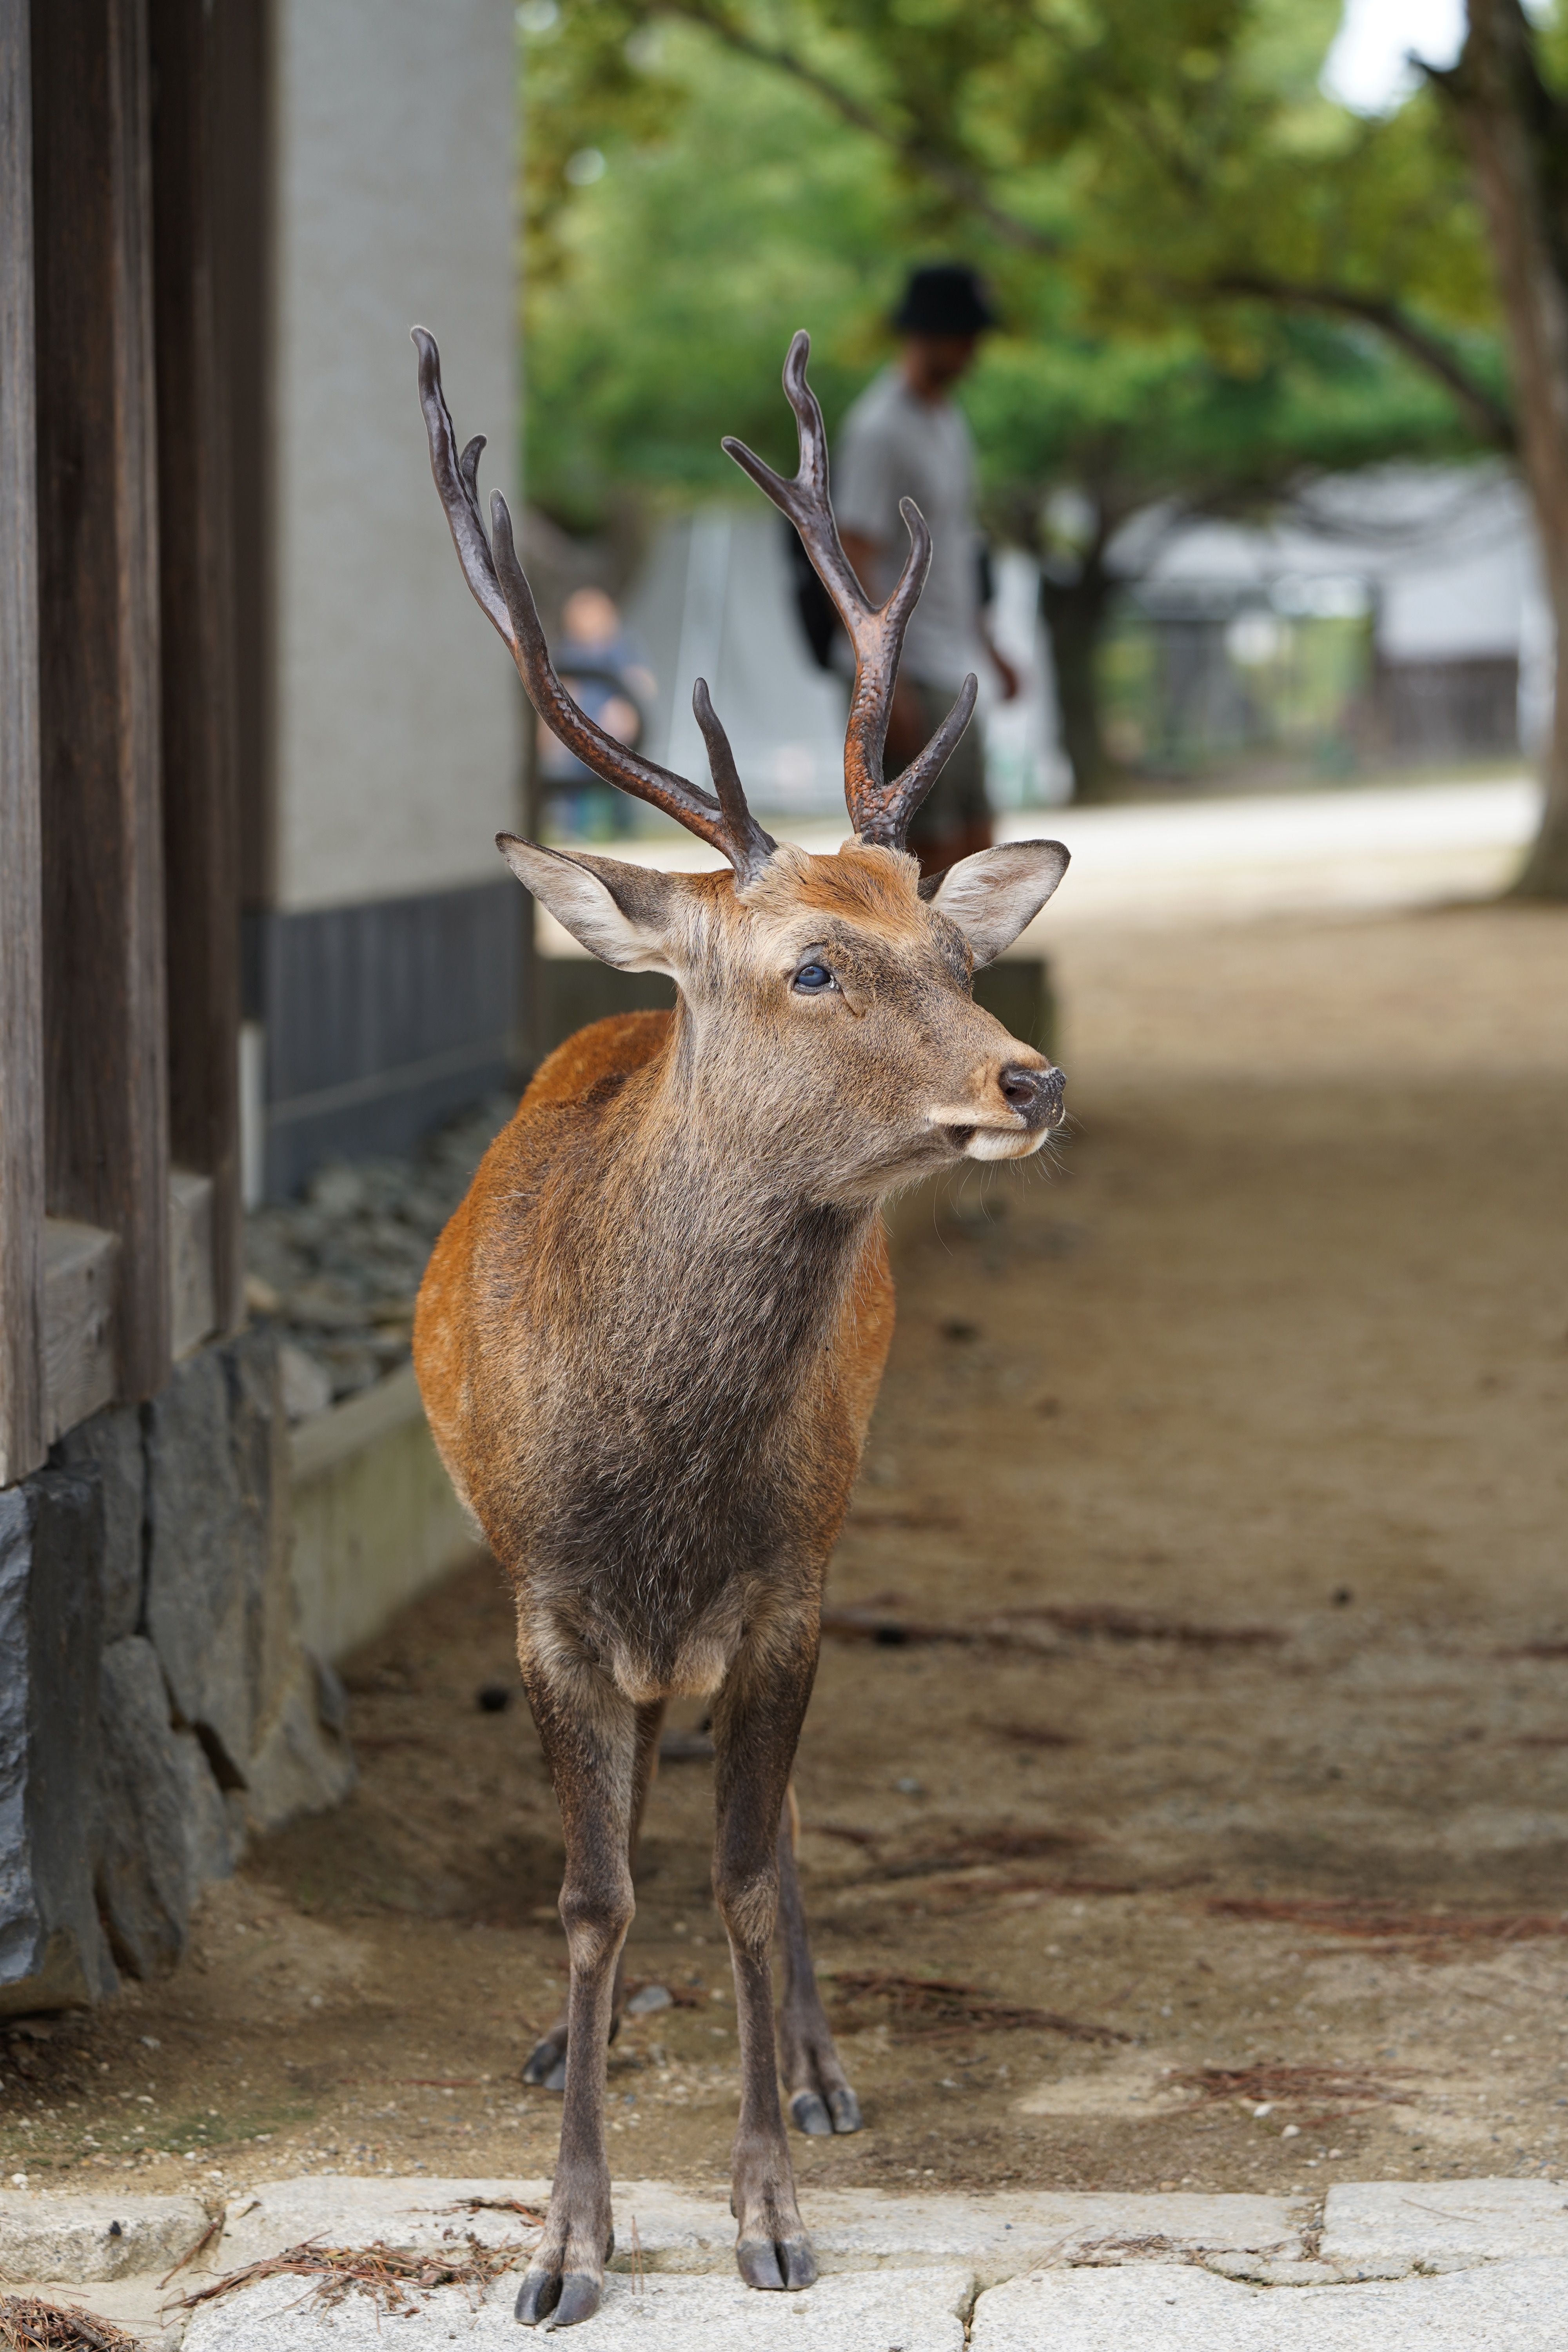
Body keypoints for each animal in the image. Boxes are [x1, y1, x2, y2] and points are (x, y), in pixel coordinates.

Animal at [409, 325, 1069, 2328]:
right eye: (813, 963)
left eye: (947, 940)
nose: (1030, 1075)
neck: (661, 1475)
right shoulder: (546, 1599)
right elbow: (592, 1895)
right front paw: (566, 2239)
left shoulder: (786, 1582)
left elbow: (746, 1873)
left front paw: (768, 2199)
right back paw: (579, 2039)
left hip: (831, 1535)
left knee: (765, 1845)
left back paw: (821, 2061)